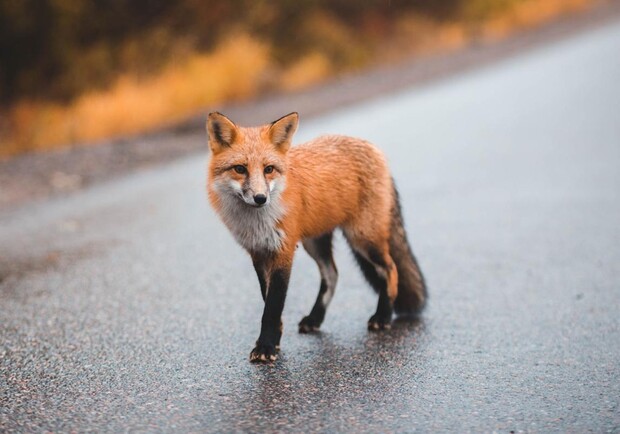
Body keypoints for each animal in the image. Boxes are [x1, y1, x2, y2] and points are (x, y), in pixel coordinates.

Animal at [206, 112, 424, 362]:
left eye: (268, 169)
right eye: (240, 169)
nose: (261, 198)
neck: (257, 222)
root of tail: (372, 147)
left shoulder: (284, 250)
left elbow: (273, 305)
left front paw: (266, 346)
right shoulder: (258, 252)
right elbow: (267, 301)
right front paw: (274, 340)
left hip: (362, 238)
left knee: (390, 269)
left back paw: (383, 316)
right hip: (316, 243)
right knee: (332, 274)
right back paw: (315, 318)